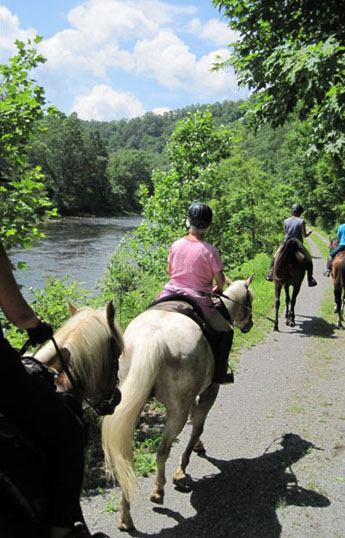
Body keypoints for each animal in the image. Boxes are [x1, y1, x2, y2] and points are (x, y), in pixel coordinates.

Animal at [101, 276, 253, 528]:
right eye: (250, 299)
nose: (249, 324)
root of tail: (152, 337)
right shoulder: (210, 389)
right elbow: (198, 424)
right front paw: (182, 470)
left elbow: (195, 419)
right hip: (176, 410)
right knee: (163, 449)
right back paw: (158, 490)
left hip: (130, 406)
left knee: (125, 456)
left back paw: (125, 516)